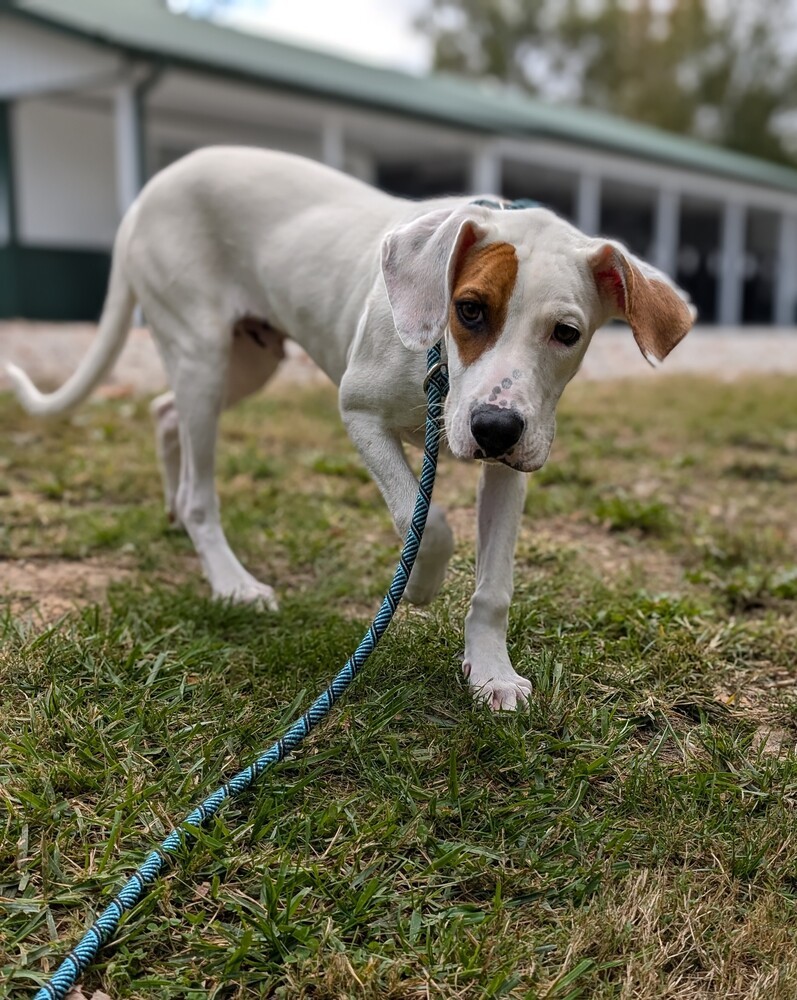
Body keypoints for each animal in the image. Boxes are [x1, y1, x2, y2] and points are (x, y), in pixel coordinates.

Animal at [4, 146, 692, 712]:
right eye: (469, 310)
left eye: (567, 334)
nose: (494, 427)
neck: (437, 358)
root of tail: (149, 192)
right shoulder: (358, 412)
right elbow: (427, 522)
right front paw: (419, 586)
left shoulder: (511, 462)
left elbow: (495, 584)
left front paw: (492, 671)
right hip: (203, 353)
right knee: (202, 484)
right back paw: (231, 580)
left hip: (245, 360)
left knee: (163, 411)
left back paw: (176, 511)